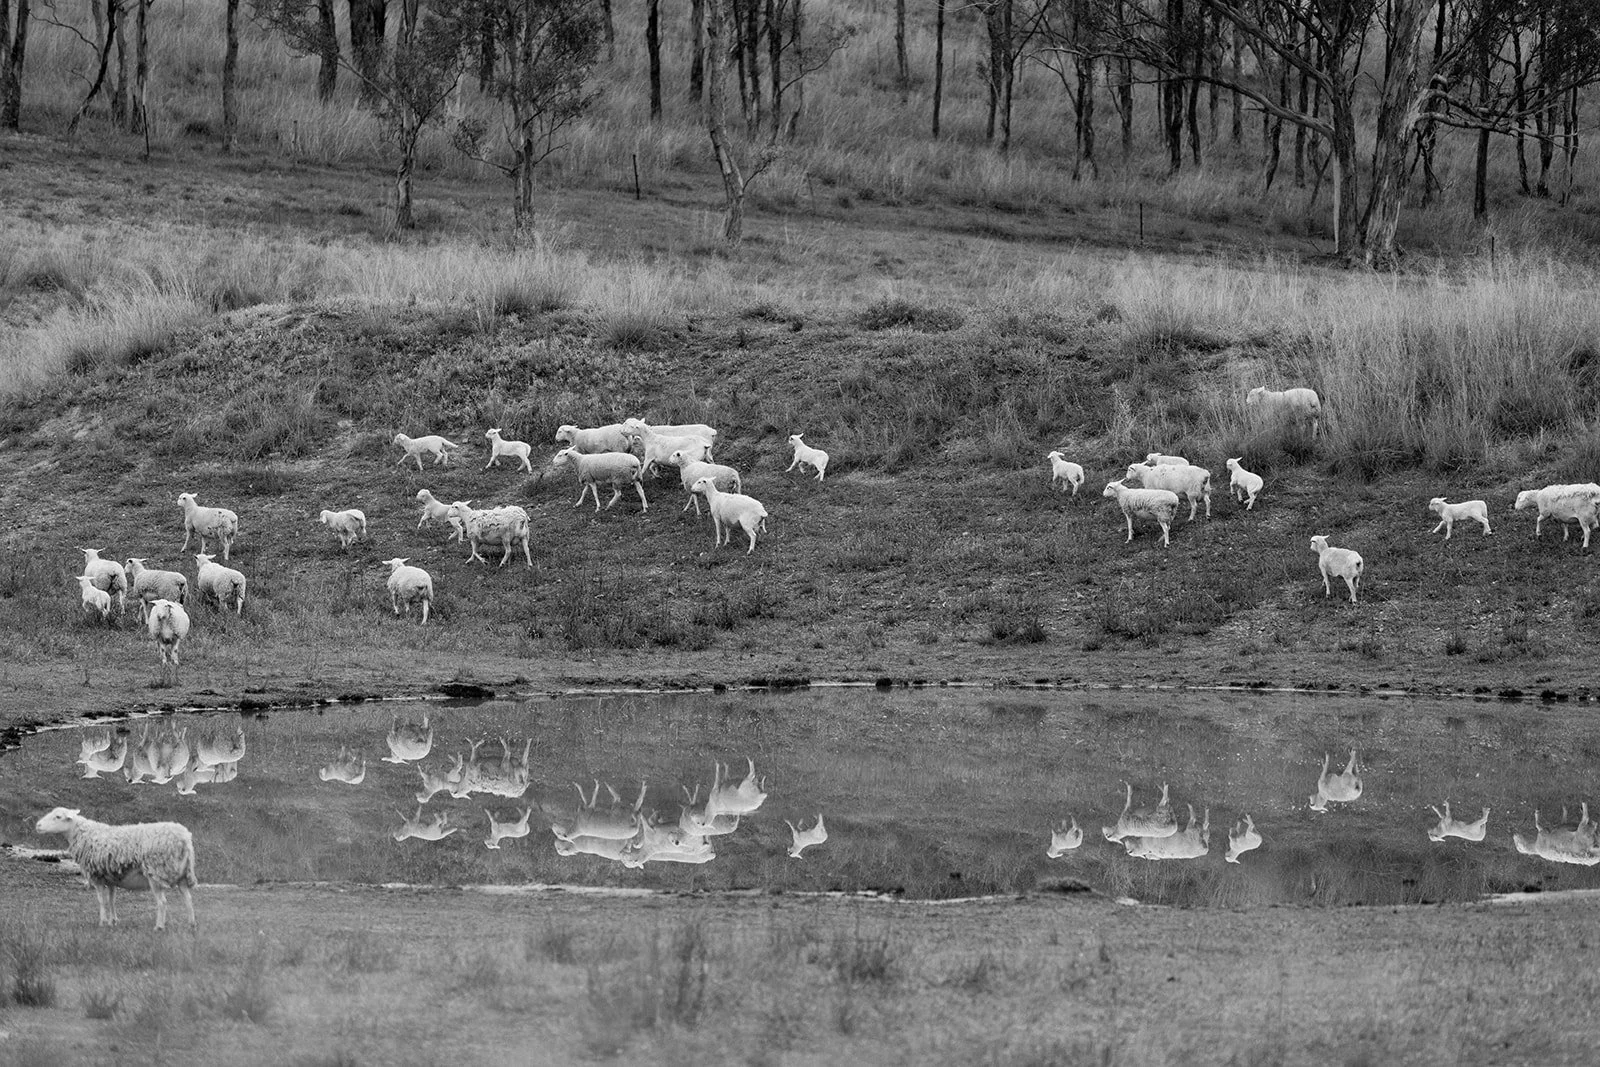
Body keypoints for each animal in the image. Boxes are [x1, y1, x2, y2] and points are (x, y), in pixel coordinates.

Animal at [34, 807, 197, 929]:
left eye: (57, 816)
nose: (37, 826)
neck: (84, 834)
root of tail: (185, 839)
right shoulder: (111, 877)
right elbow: (112, 900)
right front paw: (113, 921)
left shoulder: (97, 876)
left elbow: (101, 900)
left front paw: (102, 922)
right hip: (182, 873)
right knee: (188, 898)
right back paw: (191, 924)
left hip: (155, 873)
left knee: (162, 902)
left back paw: (159, 927)